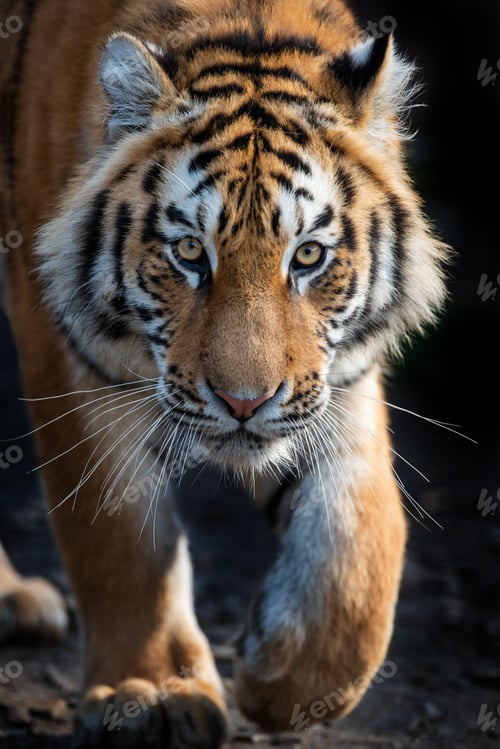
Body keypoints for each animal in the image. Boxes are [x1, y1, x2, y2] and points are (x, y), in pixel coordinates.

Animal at [0, 0, 449, 745]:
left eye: (308, 256)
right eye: (189, 252)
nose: (244, 402)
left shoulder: (336, 381)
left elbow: (361, 537)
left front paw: (287, 682)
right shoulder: (64, 344)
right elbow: (114, 536)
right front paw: (148, 691)